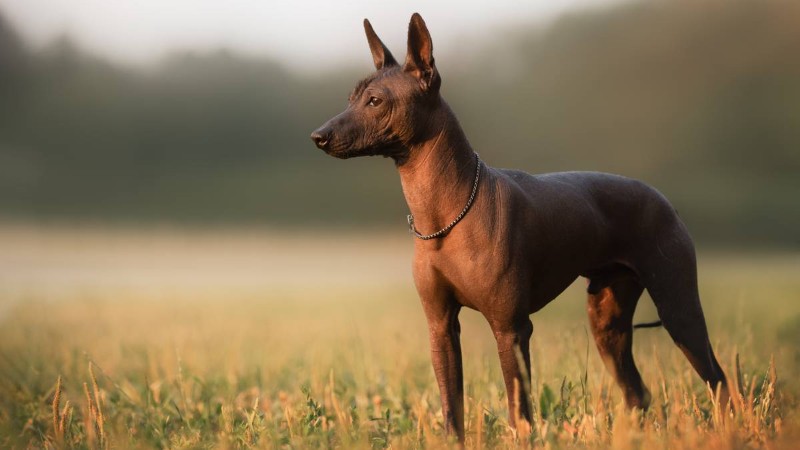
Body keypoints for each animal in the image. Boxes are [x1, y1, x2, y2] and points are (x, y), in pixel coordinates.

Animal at [310, 12, 728, 442]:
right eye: (350, 99)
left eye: (375, 101)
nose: (318, 136)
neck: (446, 214)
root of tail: (662, 197)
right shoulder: (440, 327)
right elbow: (451, 406)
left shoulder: (511, 330)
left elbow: (519, 408)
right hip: (606, 322)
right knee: (636, 391)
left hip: (679, 309)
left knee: (718, 380)